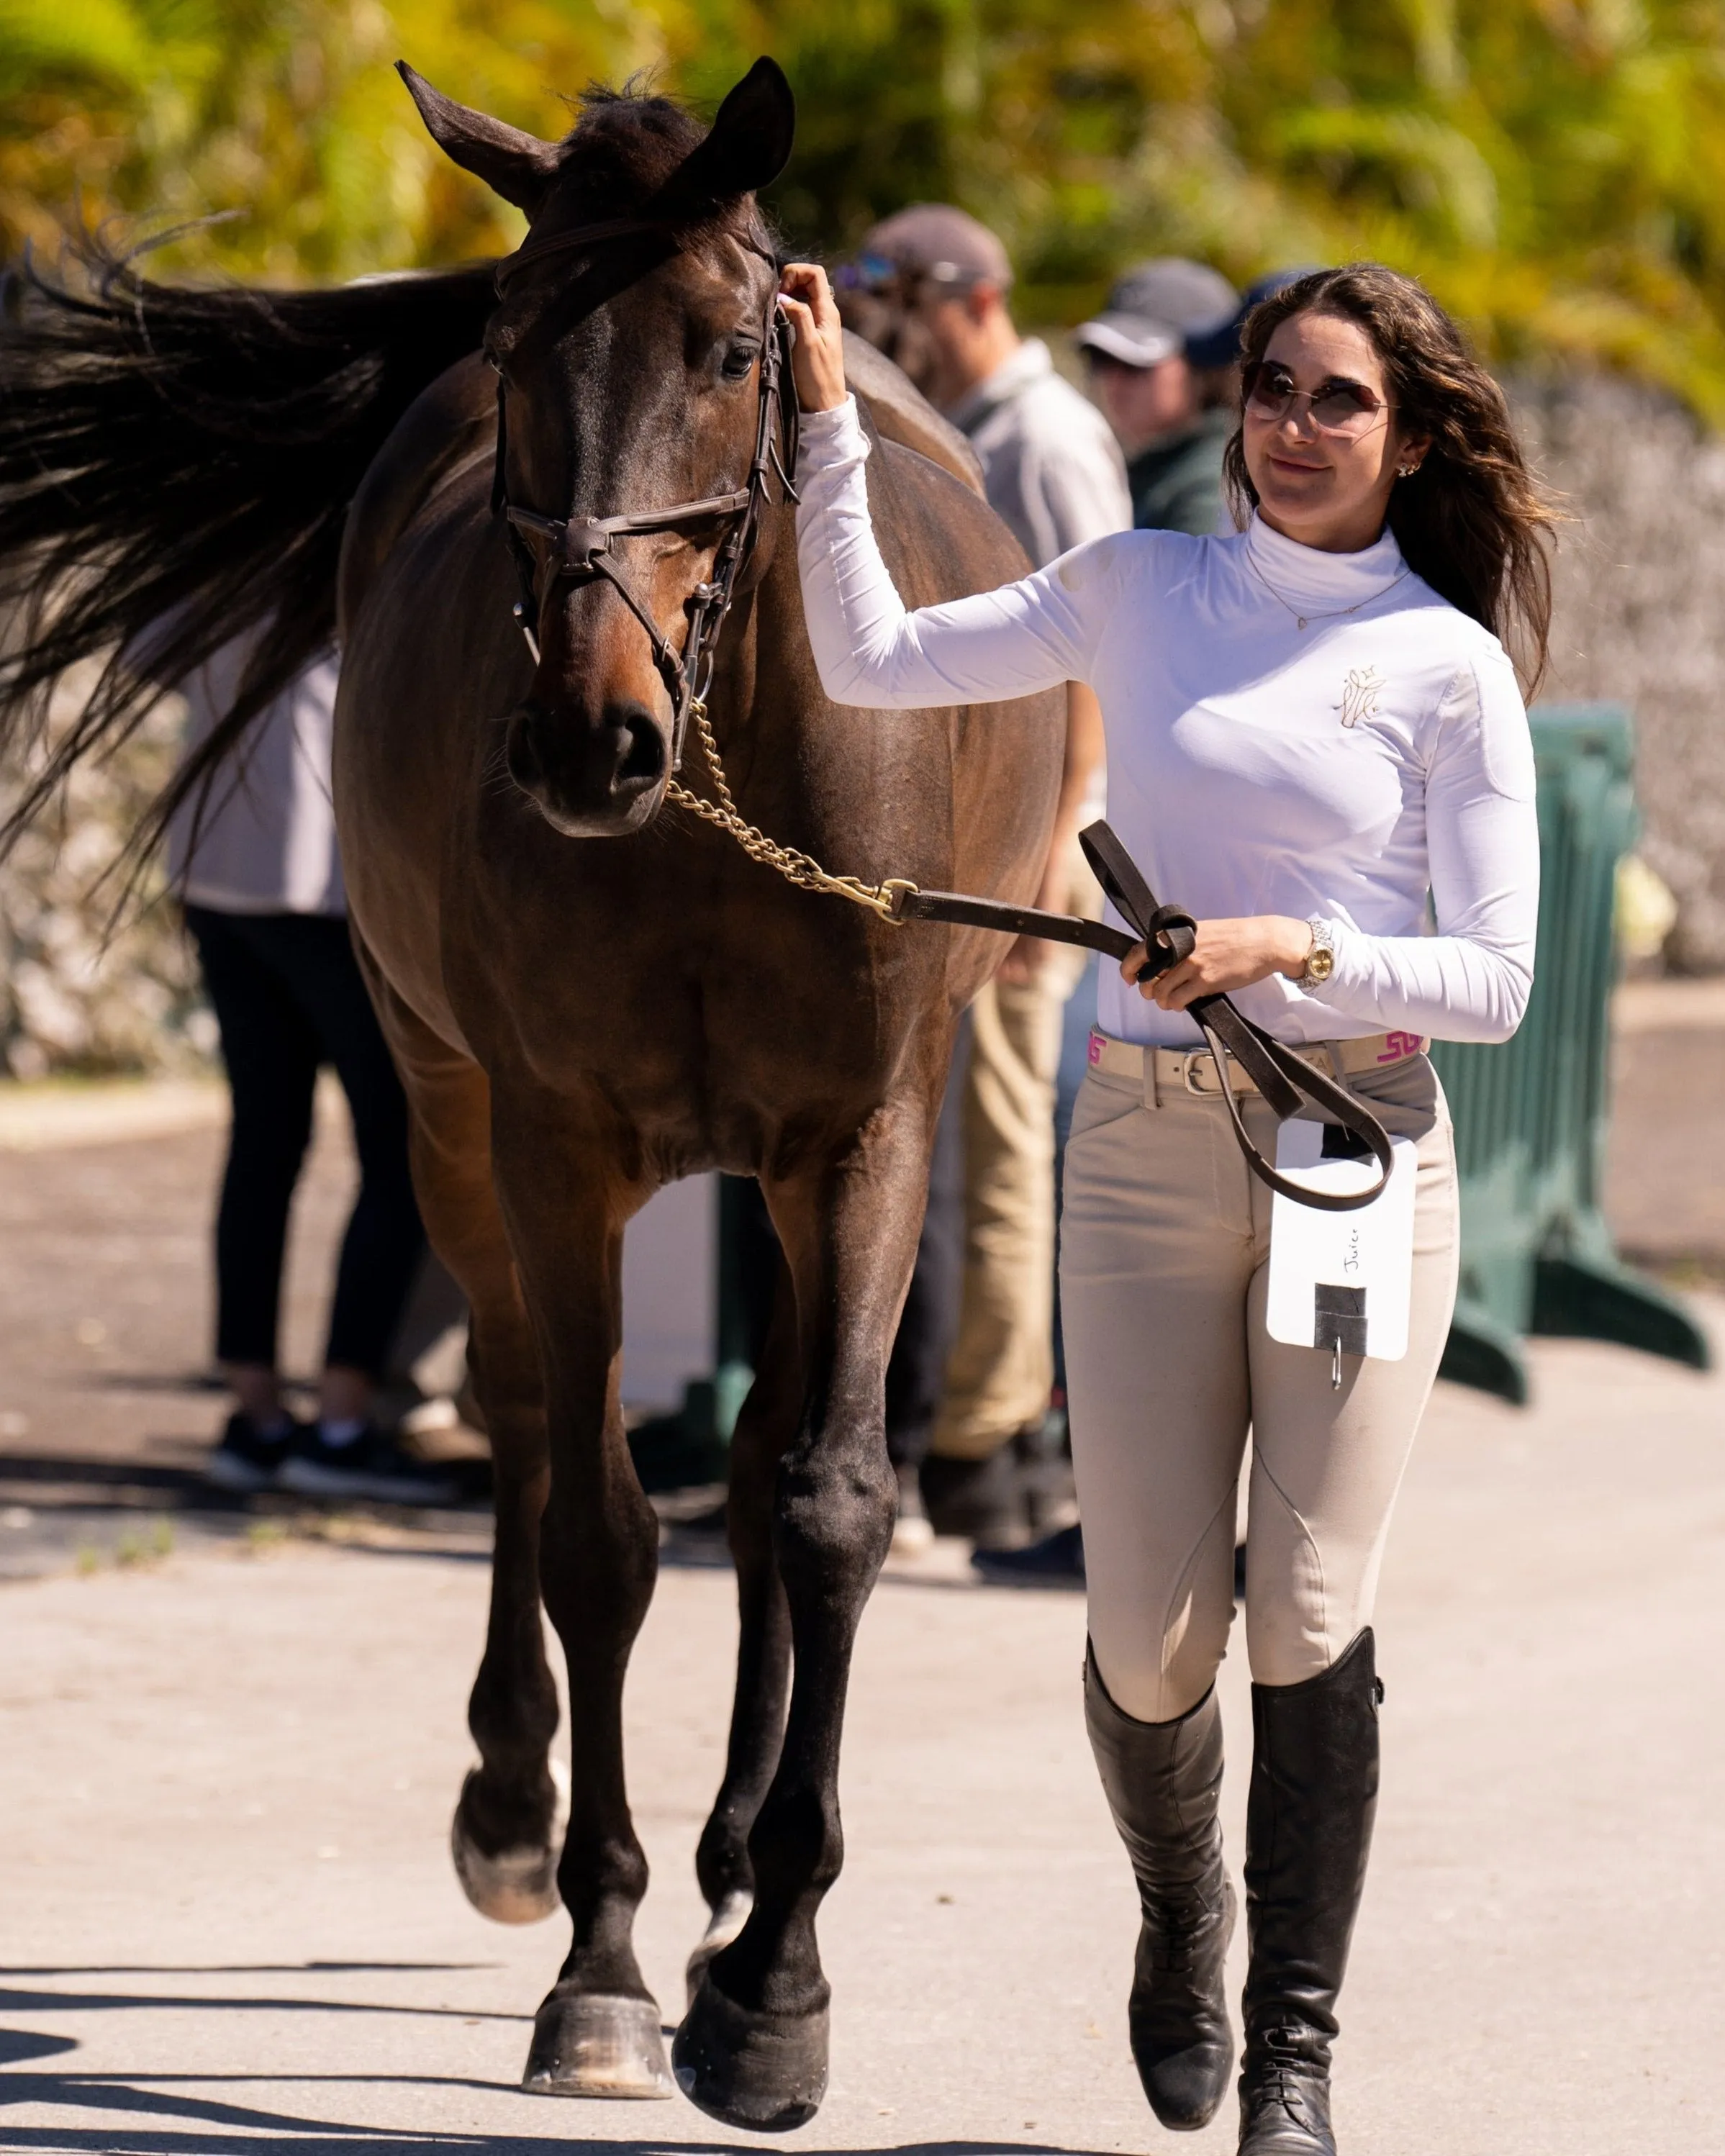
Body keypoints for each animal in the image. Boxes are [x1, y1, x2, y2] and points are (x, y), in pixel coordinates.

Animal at [0, 55, 1065, 2139]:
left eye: (729, 346)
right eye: (509, 351)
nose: (590, 736)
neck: (723, 797)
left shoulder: (864, 1138)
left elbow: (828, 1501)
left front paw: (772, 1985)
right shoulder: (553, 1145)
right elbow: (593, 1527)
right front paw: (603, 1963)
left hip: (770, 1176)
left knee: (757, 1460)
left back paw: (733, 1862)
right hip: (439, 1104)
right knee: (508, 1414)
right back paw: (522, 1806)